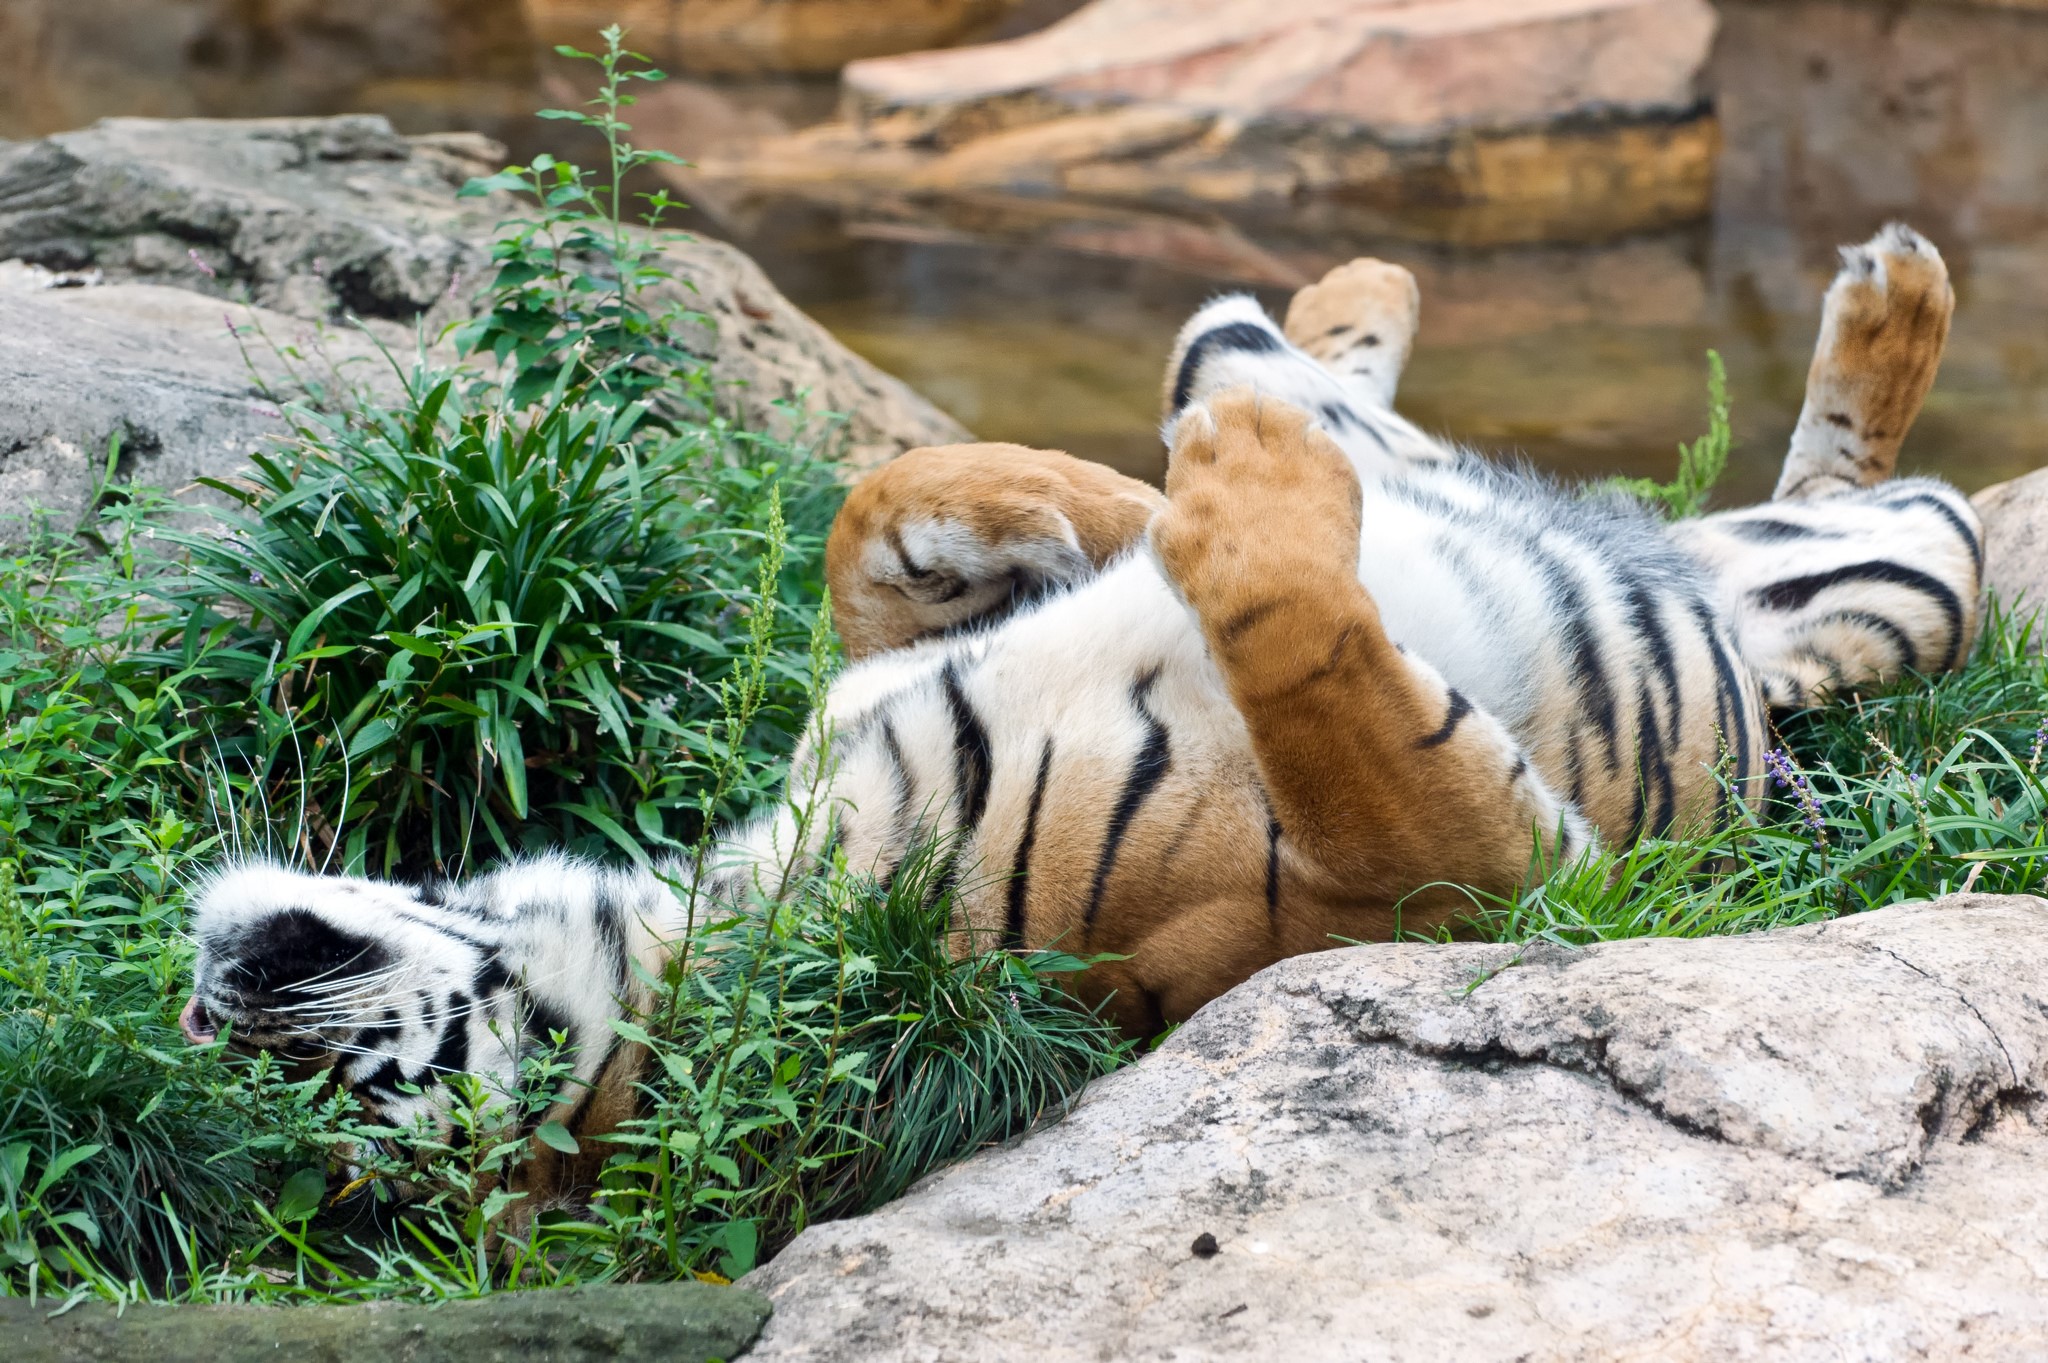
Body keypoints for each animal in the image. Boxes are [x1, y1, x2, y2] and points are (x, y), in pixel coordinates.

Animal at [180, 224, 1981, 1199]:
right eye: (347, 1096)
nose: (217, 986)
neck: (766, 893)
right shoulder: (1458, 875)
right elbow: (1308, 659)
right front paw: (1229, 495)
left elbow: (873, 519)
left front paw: (1073, 506)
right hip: (1893, 582)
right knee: (1890, 519)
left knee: (1283, 359)